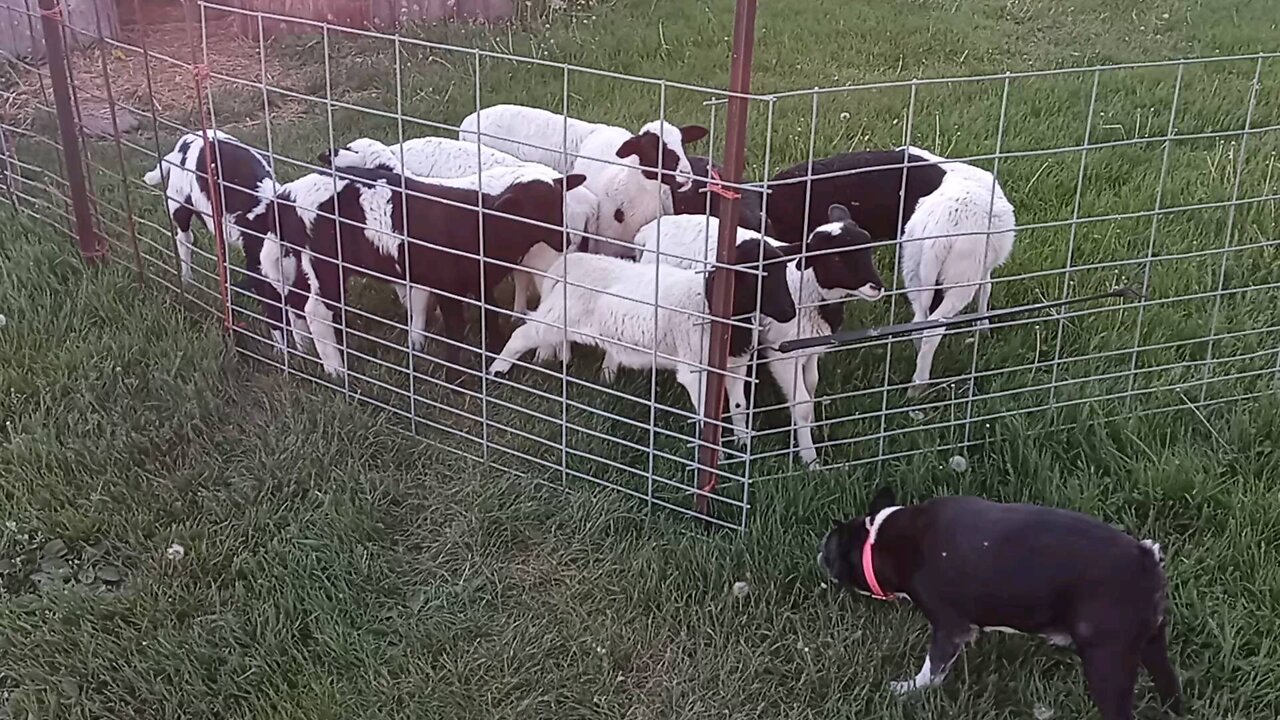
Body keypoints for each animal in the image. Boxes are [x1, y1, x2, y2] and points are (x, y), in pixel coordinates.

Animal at [824, 481, 1182, 717]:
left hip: (1107, 659)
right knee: (1170, 687)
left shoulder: (949, 626)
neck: (881, 539)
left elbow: (933, 669)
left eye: (833, 545)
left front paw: (907, 690)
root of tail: (1145, 559)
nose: (819, 550)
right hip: (1151, 643)